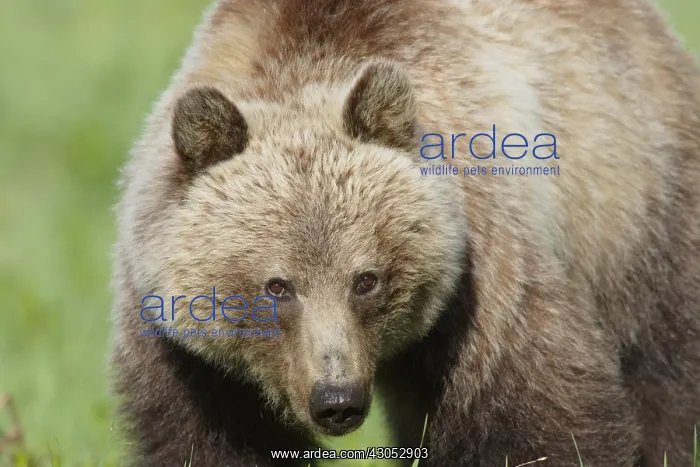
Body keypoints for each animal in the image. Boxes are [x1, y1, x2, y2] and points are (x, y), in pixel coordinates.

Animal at [110, 0, 700, 465]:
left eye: (365, 279)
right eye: (277, 285)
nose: (337, 399)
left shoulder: (480, 280)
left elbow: (536, 414)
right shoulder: (183, 351)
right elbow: (211, 438)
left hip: (635, 205)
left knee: (661, 365)